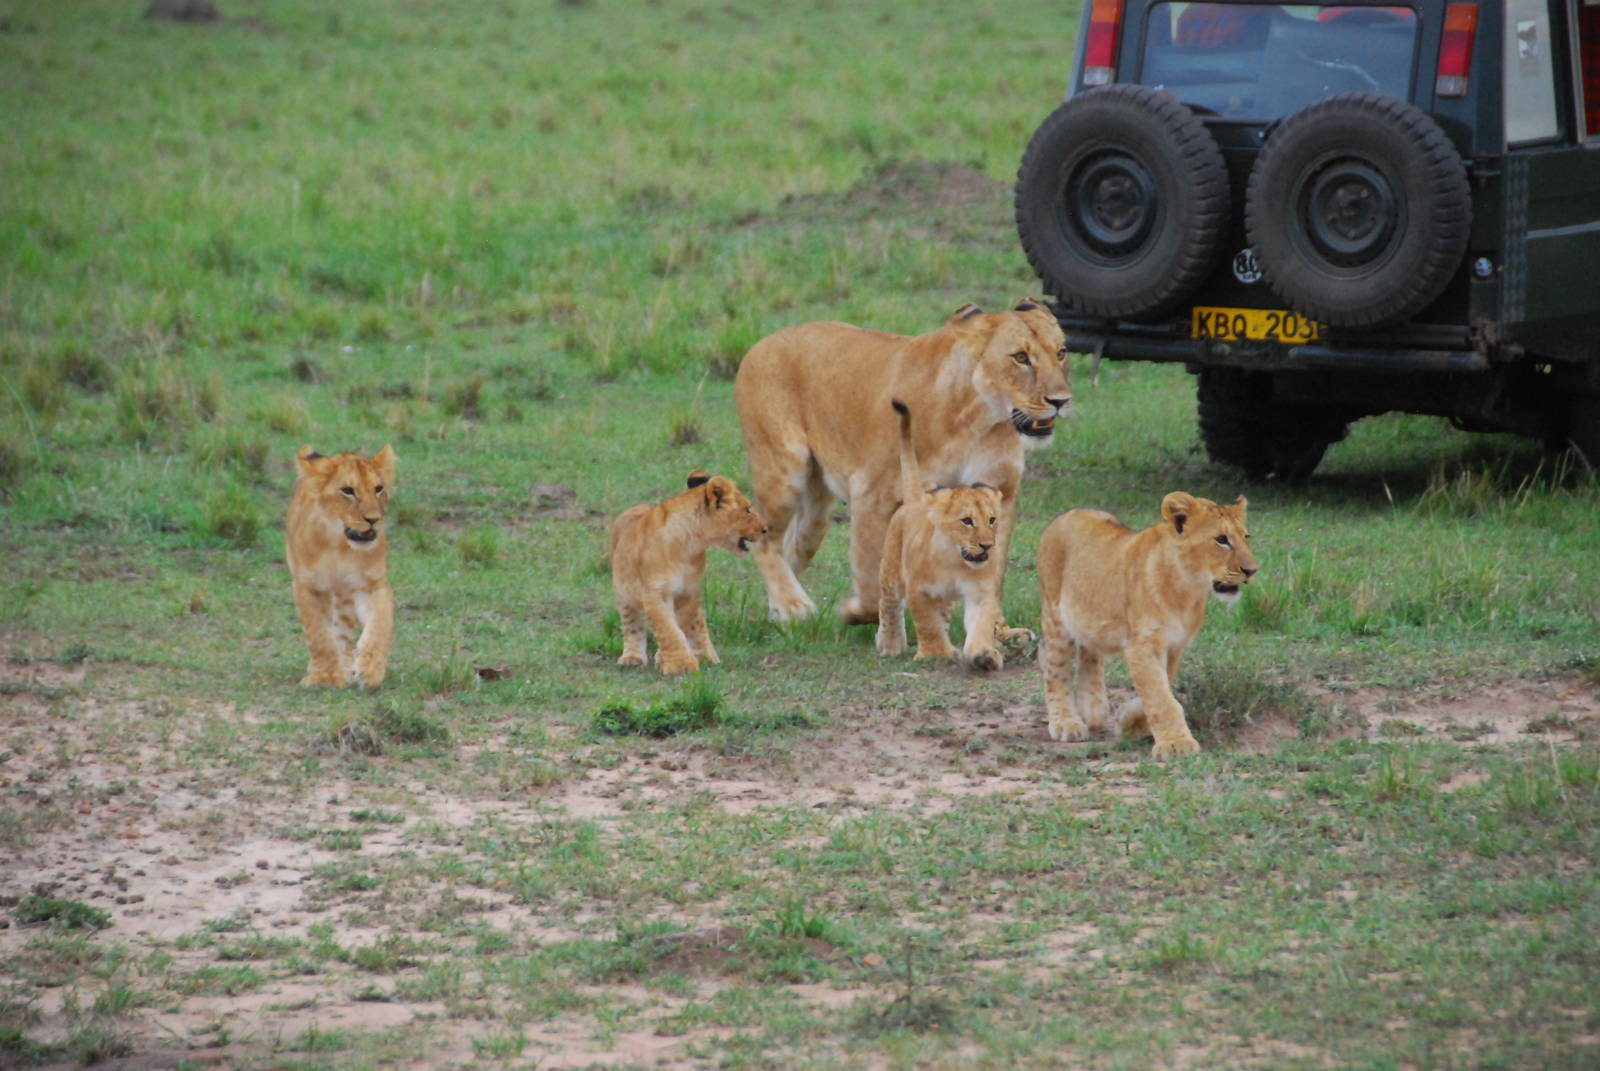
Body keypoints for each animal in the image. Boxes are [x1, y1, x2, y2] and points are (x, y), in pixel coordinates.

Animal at [285, 444, 397, 689]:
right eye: (348, 491)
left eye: (378, 489)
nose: (373, 519)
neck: (339, 546)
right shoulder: (307, 586)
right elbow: (318, 633)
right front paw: (325, 675)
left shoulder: (372, 584)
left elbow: (380, 623)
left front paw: (370, 669)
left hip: (344, 595)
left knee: (342, 631)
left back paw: (346, 667)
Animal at [609, 470, 768, 675]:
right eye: (748, 509)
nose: (766, 529)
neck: (689, 545)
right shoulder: (655, 592)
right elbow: (667, 629)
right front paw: (680, 665)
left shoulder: (689, 590)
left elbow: (685, 626)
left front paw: (688, 659)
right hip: (624, 594)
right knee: (632, 624)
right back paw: (633, 658)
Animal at [734, 300, 1070, 628]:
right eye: (1021, 357)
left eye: (1061, 353)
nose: (1061, 401)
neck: (978, 420)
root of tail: (763, 342)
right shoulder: (872, 494)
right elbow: (872, 575)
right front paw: (857, 612)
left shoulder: (1000, 493)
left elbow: (993, 571)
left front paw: (996, 629)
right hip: (784, 470)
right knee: (765, 540)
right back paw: (793, 607)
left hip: (814, 515)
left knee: (791, 548)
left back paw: (781, 609)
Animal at [876, 400, 1008, 669]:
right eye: (967, 521)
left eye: (992, 520)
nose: (987, 545)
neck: (955, 562)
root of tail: (916, 499)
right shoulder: (919, 589)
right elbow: (927, 623)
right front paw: (936, 652)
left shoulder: (980, 593)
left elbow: (981, 624)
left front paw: (983, 655)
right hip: (891, 573)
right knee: (889, 607)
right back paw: (890, 646)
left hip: (944, 598)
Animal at [1037, 492, 1257, 760]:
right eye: (1221, 540)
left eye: (1246, 537)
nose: (1252, 571)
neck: (1188, 591)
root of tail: (1068, 513)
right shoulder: (1143, 644)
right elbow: (1160, 696)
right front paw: (1175, 743)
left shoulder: (1174, 646)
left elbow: (1160, 688)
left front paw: (1131, 723)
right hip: (1055, 615)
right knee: (1055, 668)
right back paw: (1066, 722)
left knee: (1090, 651)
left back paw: (1093, 707)